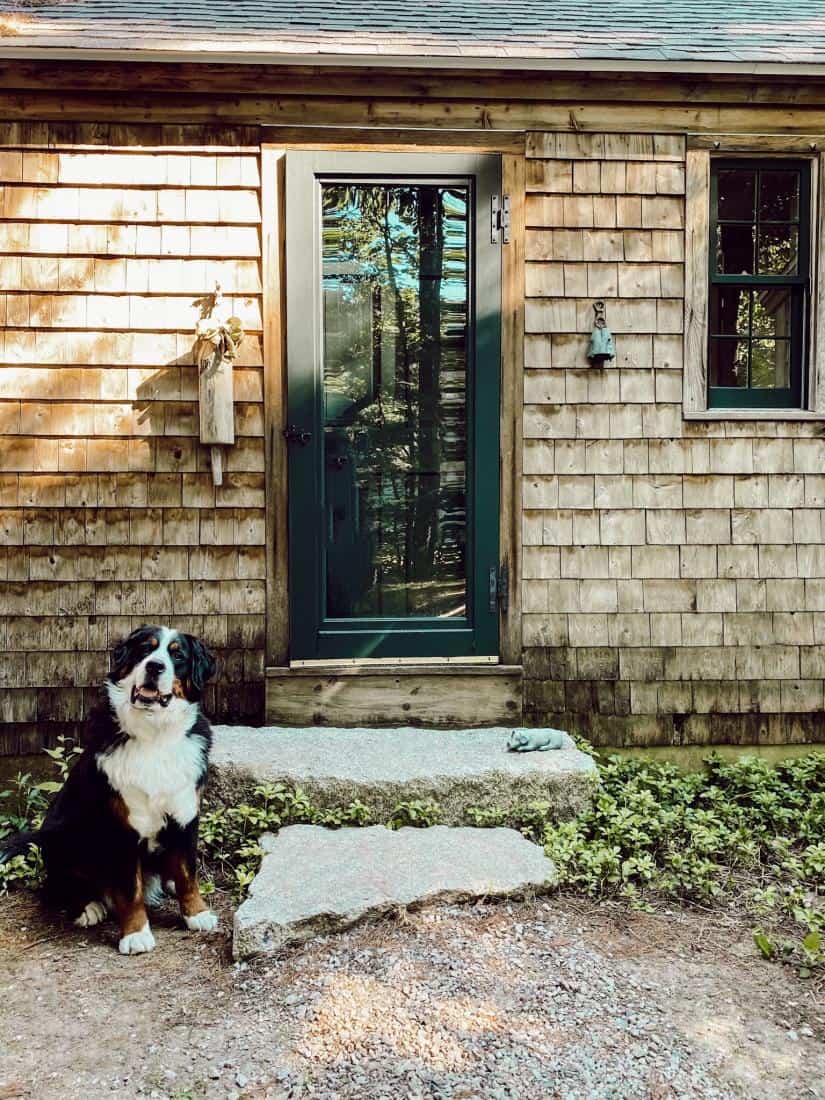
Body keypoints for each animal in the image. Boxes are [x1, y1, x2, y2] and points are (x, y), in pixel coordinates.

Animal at [0, 629, 220, 954]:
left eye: (177, 655)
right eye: (145, 650)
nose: (155, 666)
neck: (154, 735)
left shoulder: (185, 813)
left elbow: (186, 873)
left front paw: (197, 913)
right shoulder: (121, 825)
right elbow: (130, 889)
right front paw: (136, 934)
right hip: (62, 832)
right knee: (59, 886)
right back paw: (88, 907)